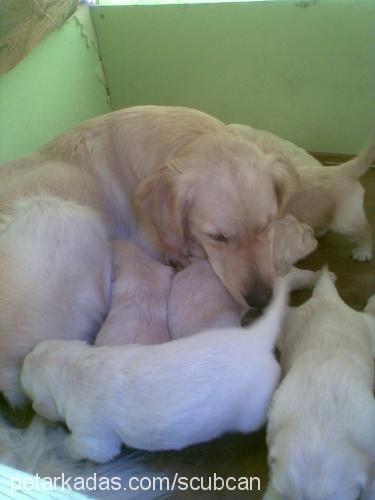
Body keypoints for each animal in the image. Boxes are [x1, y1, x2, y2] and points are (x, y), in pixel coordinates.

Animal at [20, 280, 288, 462]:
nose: (25, 358)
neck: (73, 367)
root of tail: (254, 337)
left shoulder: (92, 435)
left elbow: (79, 446)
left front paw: (56, 441)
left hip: (251, 412)